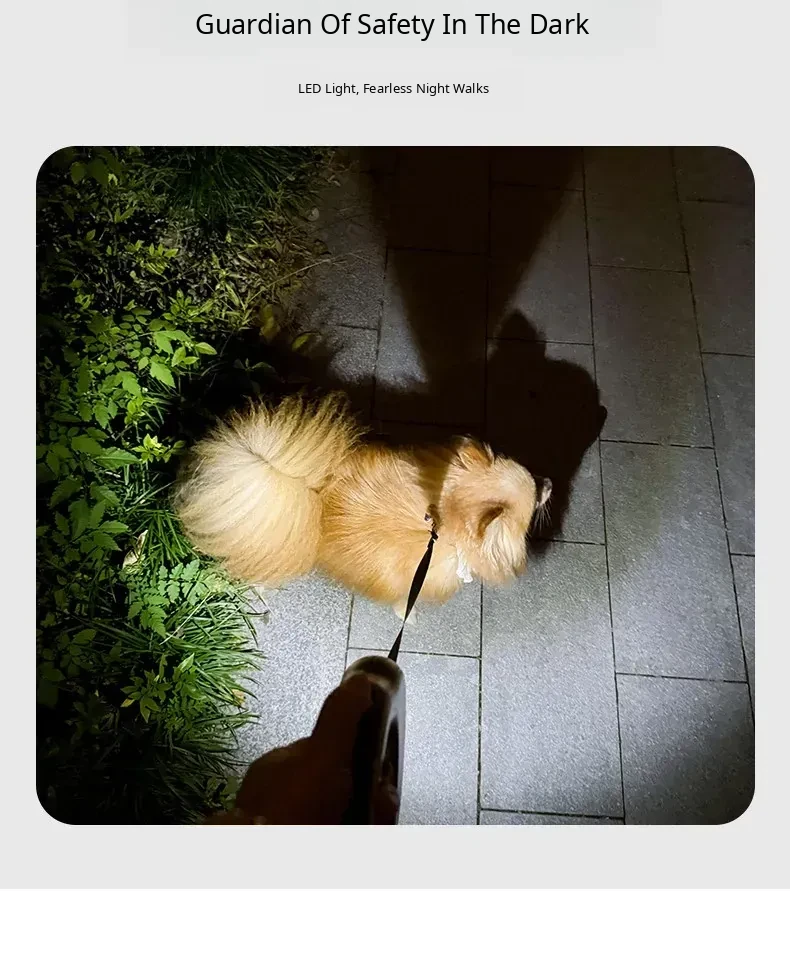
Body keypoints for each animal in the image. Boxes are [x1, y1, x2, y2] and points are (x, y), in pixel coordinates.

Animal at [174, 392, 551, 618]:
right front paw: (408, 617)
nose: (550, 482)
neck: (440, 525)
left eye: (535, 478)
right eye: (536, 498)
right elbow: (405, 605)